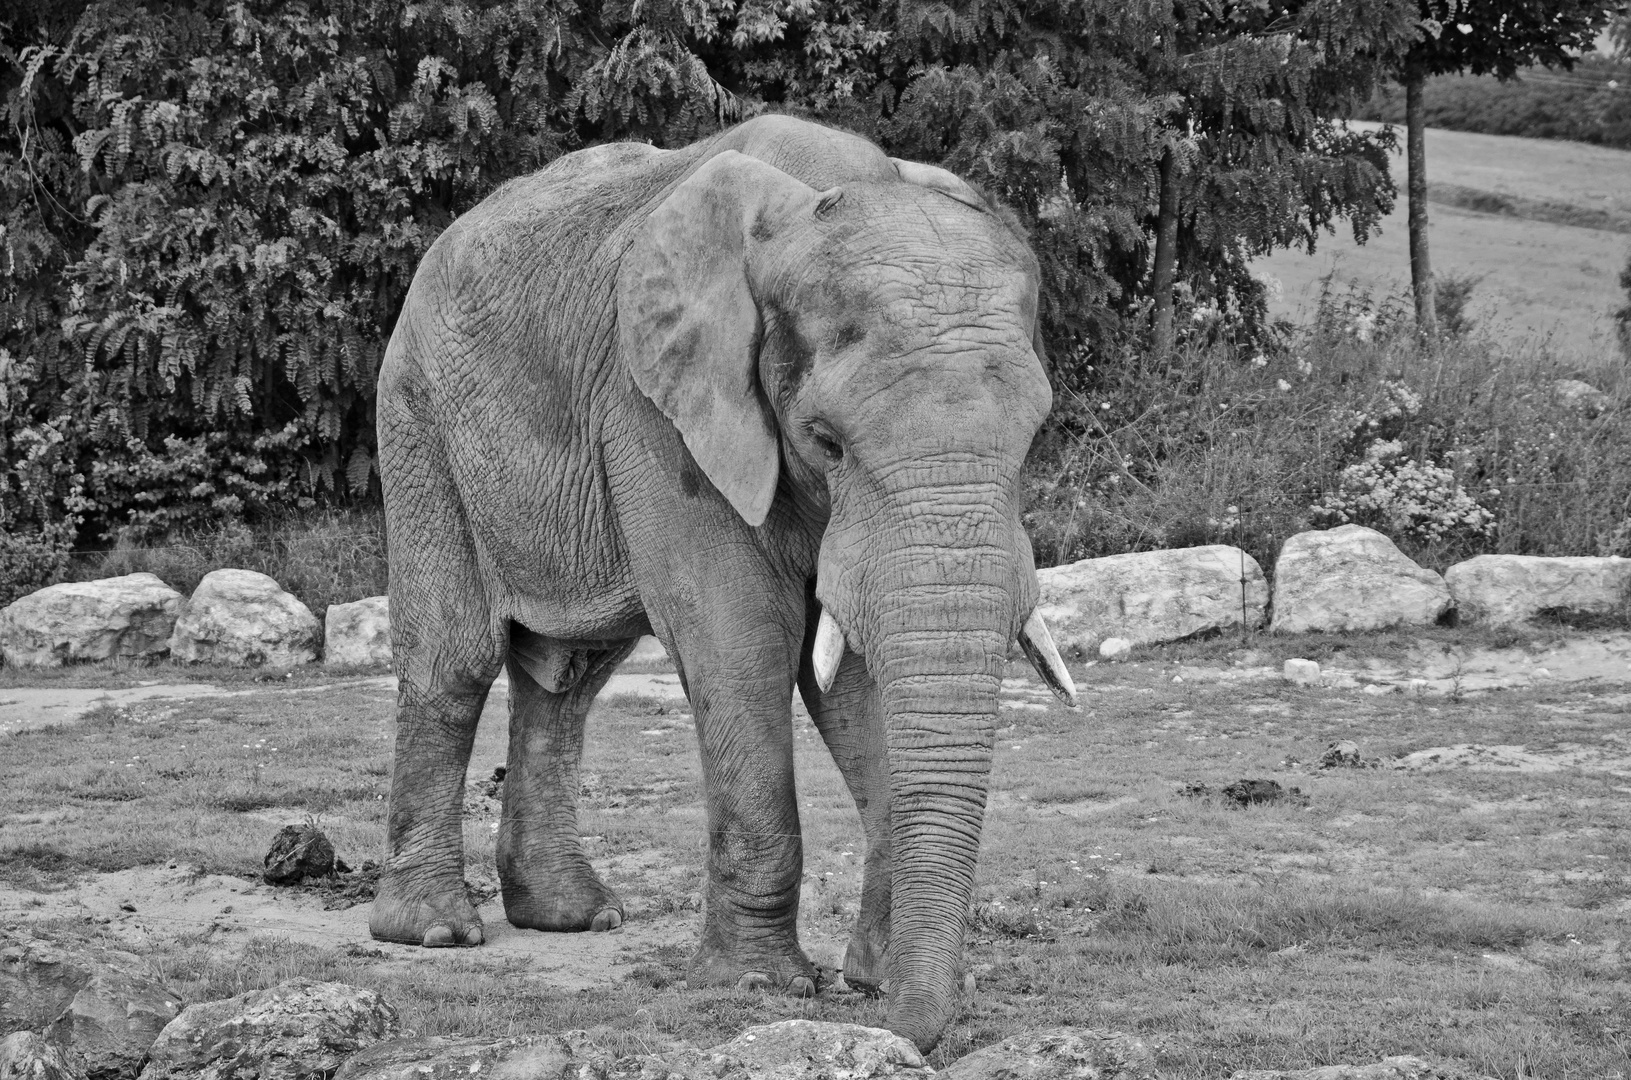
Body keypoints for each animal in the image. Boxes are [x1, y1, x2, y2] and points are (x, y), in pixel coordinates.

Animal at [373, 110, 1082, 1050]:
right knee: (453, 662)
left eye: (1033, 438)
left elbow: (848, 674)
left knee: (568, 676)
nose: (914, 1034)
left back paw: (576, 917)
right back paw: (433, 931)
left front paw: (872, 979)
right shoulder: (654, 409)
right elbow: (741, 640)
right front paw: (759, 988)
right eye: (826, 441)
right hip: (418, 420)